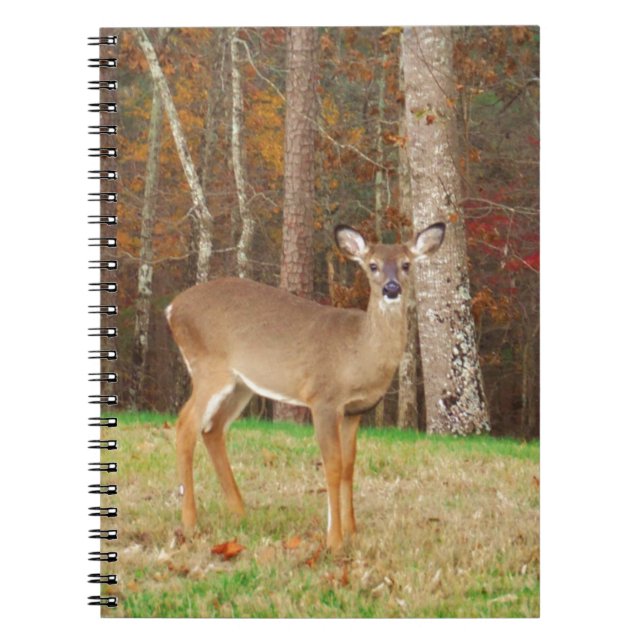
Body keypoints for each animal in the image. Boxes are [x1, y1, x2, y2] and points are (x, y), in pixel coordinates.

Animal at [165, 222, 446, 551]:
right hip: (209, 369)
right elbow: (333, 465)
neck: (359, 353)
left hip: (241, 384)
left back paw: (240, 512)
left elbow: (349, 466)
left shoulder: (354, 411)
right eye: (373, 265)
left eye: (406, 264)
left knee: (212, 429)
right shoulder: (323, 398)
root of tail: (172, 308)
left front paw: (353, 531)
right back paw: (190, 522)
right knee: (186, 425)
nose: (391, 289)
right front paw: (334, 539)